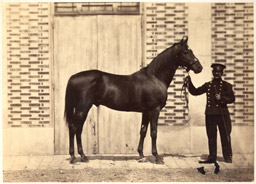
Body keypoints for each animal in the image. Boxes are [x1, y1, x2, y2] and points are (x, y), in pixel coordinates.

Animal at [64, 36, 202, 164]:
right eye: (186, 52)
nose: (199, 67)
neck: (155, 78)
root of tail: (72, 77)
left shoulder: (146, 112)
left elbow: (143, 131)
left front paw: (141, 155)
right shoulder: (155, 110)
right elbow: (153, 132)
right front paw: (157, 157)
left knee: (74, 128)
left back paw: (77, 156)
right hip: (83, 108)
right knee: (75, 128)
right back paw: (79, 156)